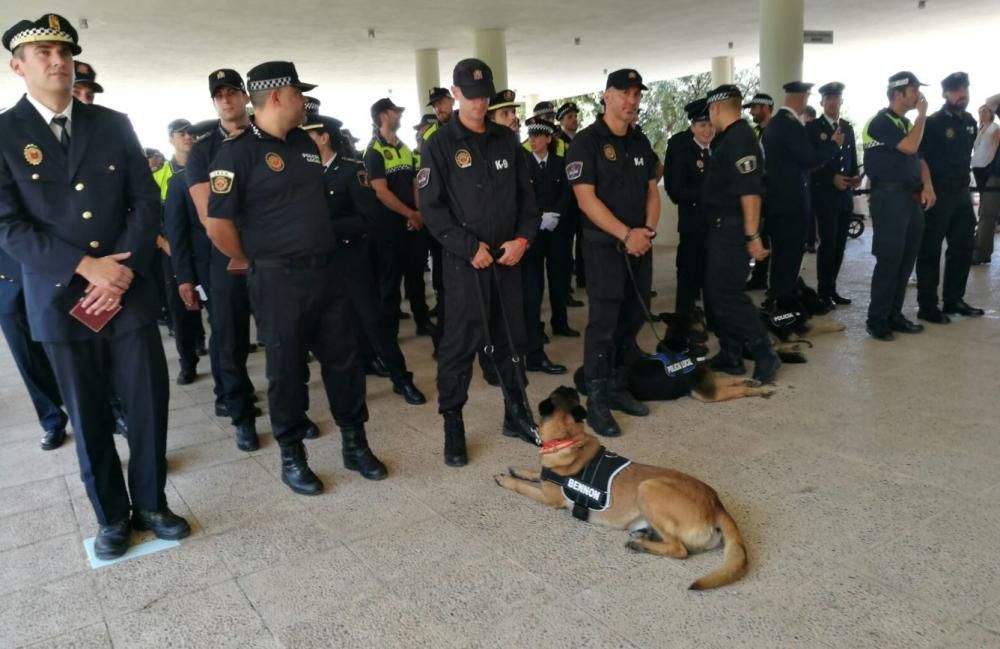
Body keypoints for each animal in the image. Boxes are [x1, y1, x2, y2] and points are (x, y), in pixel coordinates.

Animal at [496, 388, 748, 588]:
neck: (568, 438)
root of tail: (717, 505)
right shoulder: (545, 478)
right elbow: (535, 474)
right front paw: (517, 470)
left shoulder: (548, 498)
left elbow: (523, 486)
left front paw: (505, 480)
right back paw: (645, 534)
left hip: (648, 488)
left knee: (679, 549)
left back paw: (640, 544)